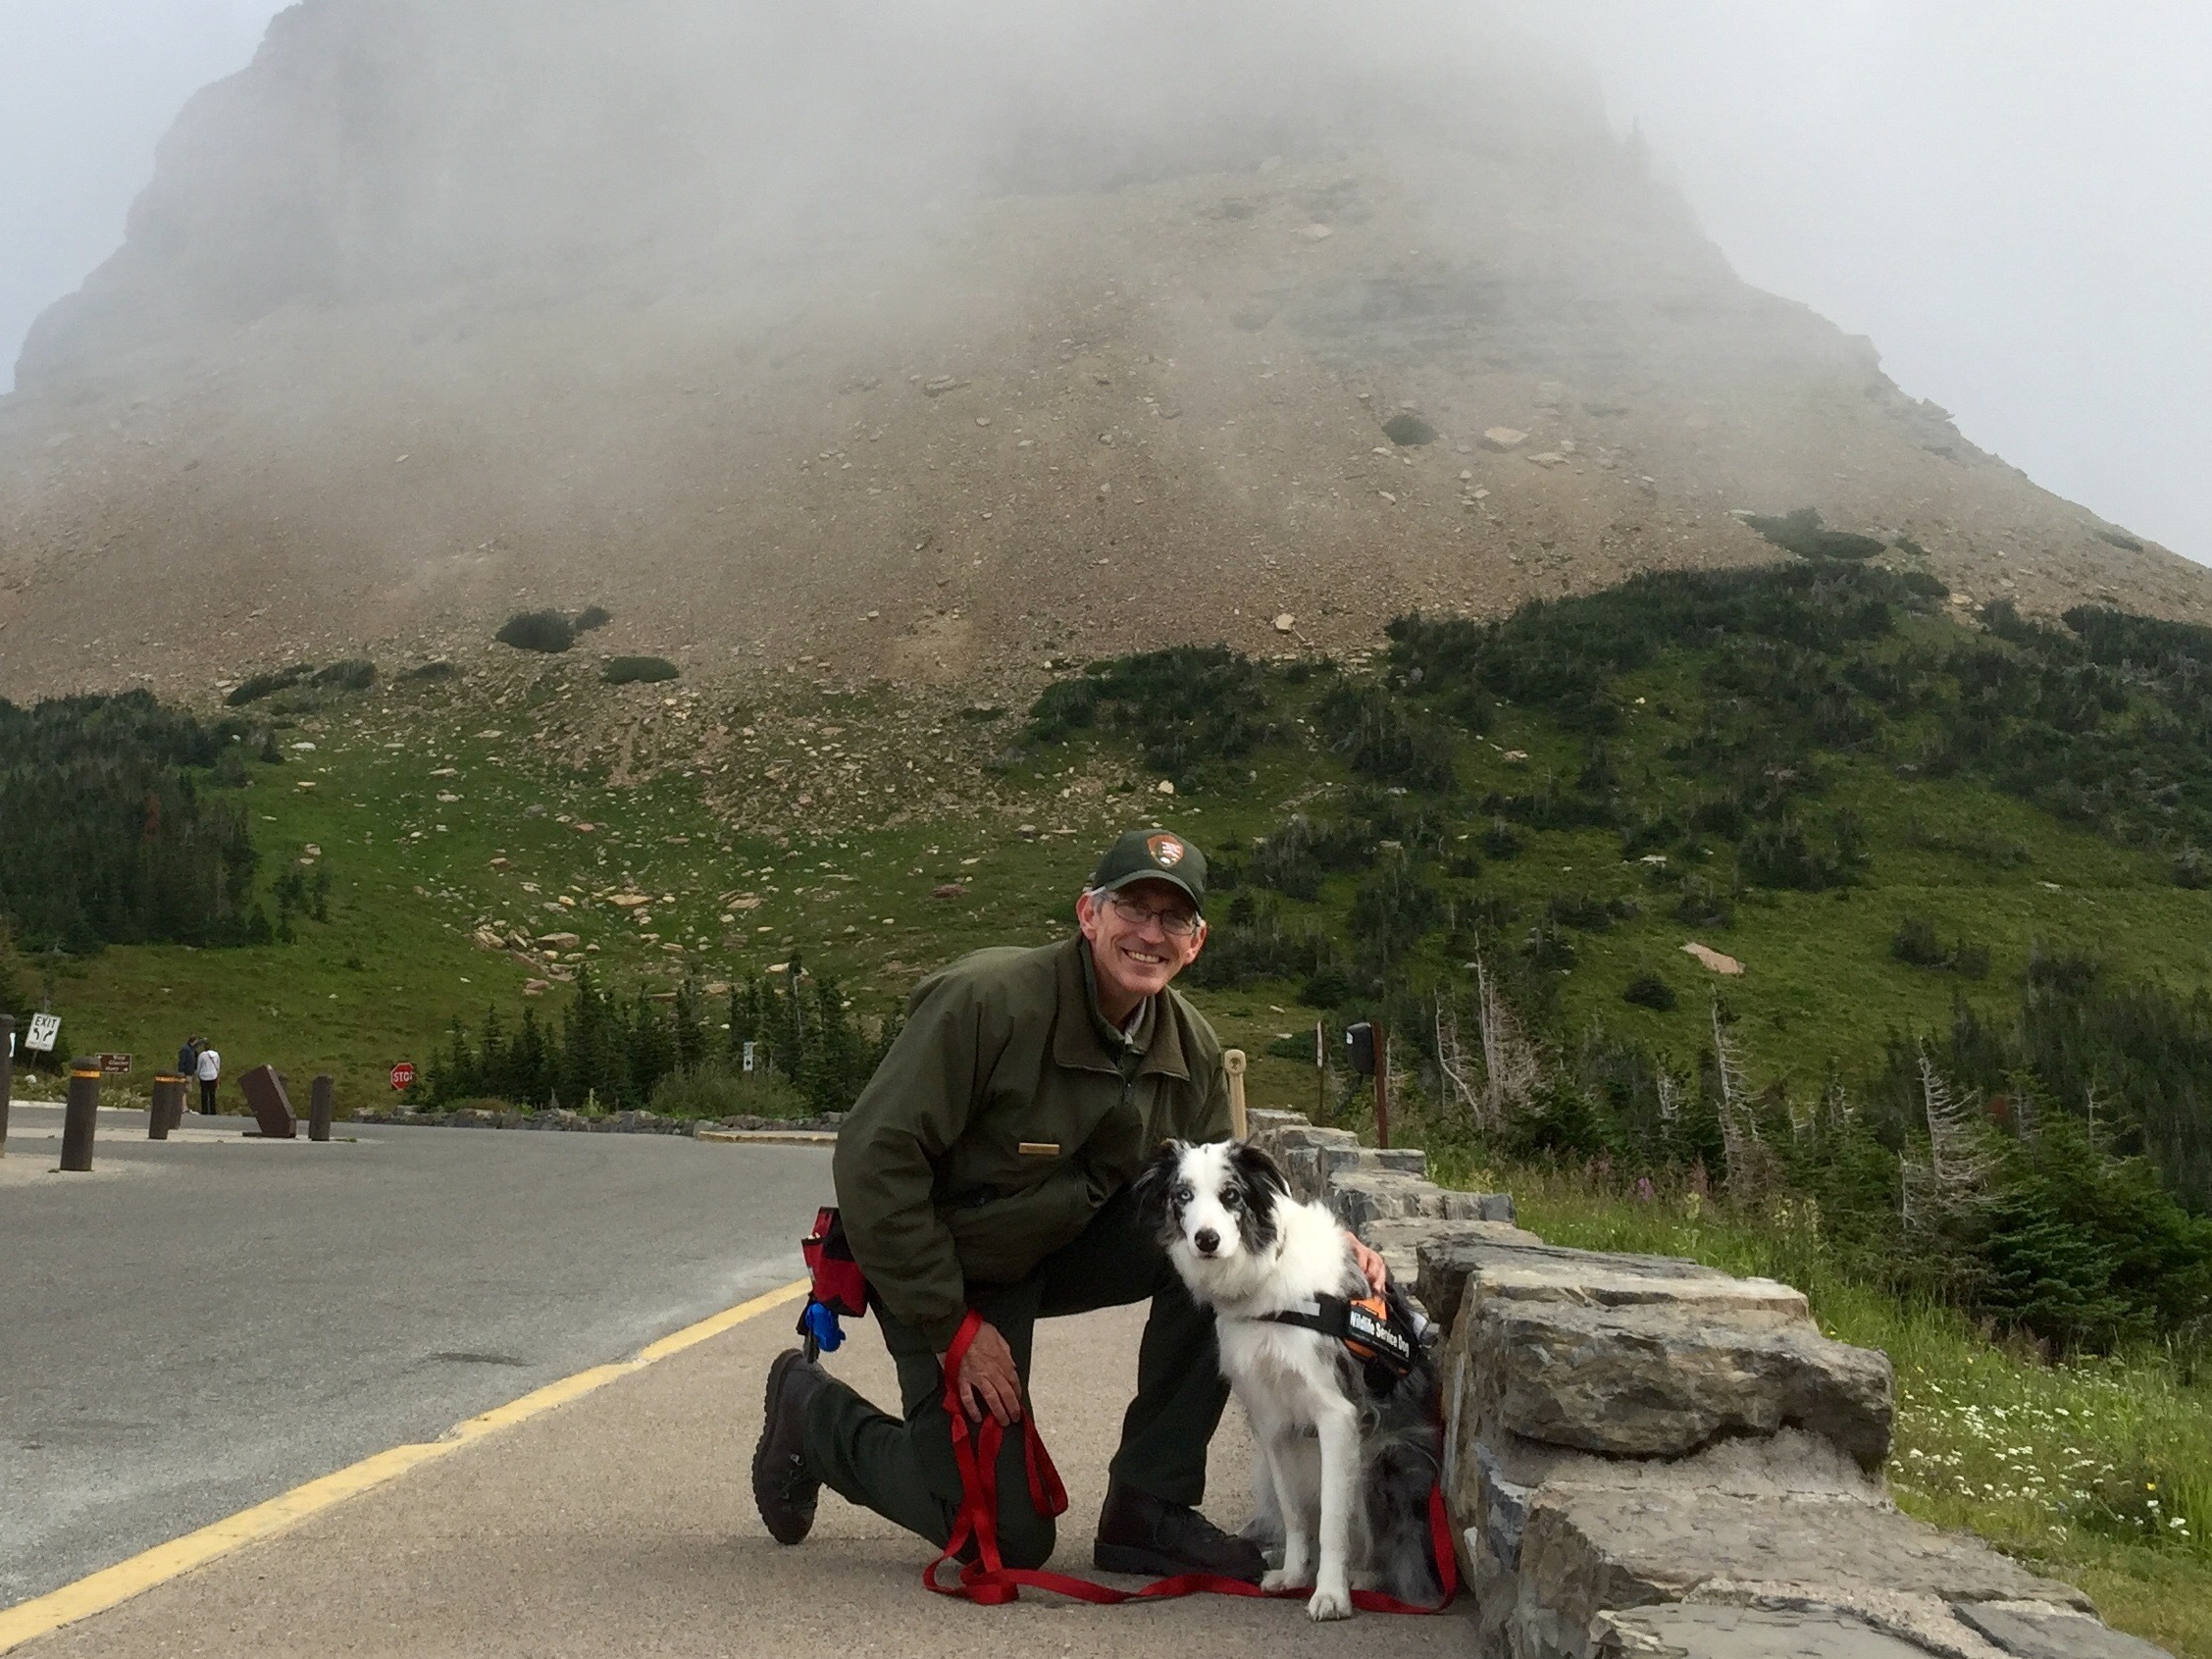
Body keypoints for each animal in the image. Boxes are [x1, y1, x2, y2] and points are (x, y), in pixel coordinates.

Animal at [1132, 1141, 1442, 1628]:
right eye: (1183, 1196)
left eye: (1231, 1195)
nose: (1206, 1240)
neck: (1267, 1279)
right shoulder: (1271, 1421)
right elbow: (1295, 1512)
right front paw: (1295, 1574)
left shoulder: (1337, 1415)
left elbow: (1333, 1521)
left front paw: (1331, 1594)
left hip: (1383, 1461)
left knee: (1388, 1550)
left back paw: (1363, 1578)